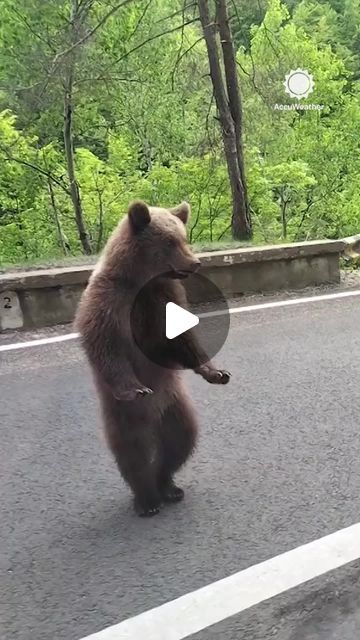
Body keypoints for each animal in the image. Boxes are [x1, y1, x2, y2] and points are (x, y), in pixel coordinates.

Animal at [75, 200, 231, 516]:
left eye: (184, 237)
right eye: (170, 241)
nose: (195, 263)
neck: (142, 282)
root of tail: (154, 417)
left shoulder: (163, 301)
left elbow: (181, 340)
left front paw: (216, 372)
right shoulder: (109, 303)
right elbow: (107, 347)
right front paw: (135, 388)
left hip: (176, 407)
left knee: (181, 442)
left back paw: (168, 485)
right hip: (124, 416)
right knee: (132, 453)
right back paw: (146, 499)